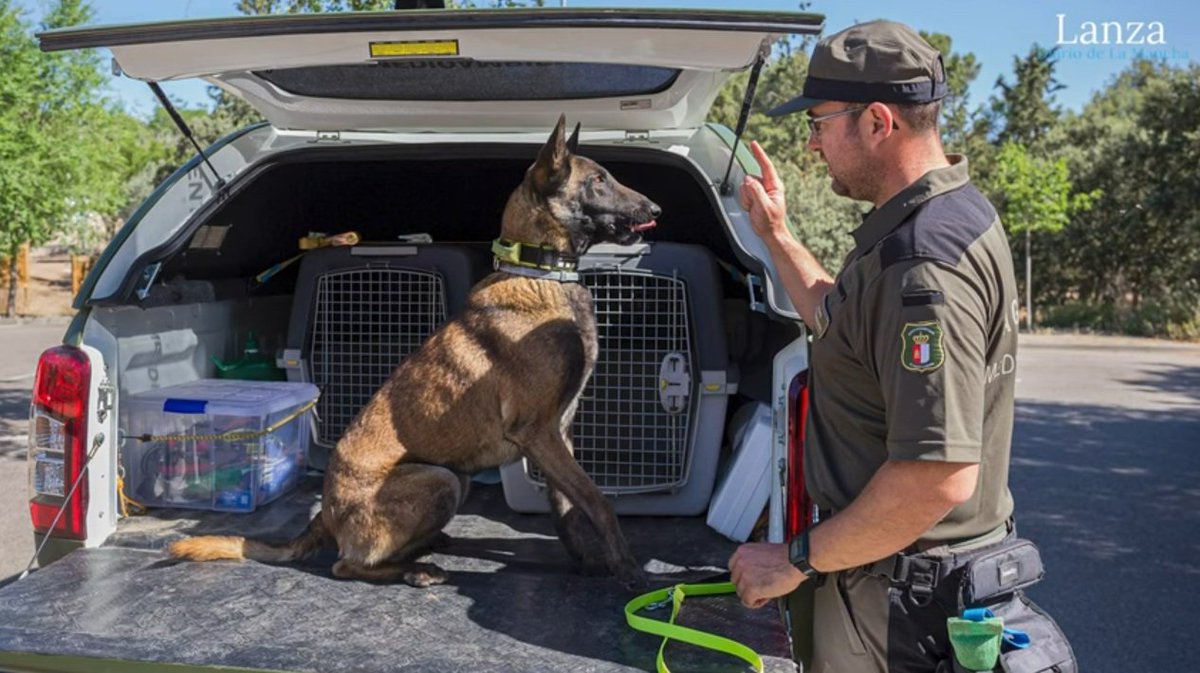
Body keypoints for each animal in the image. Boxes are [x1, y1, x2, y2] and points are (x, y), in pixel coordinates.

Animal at [166, 113, 657, 587]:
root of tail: (325, 515)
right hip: (439, 479)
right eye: (598, 180)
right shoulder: (538, 431)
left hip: (455, 477)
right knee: (345, 566)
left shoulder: (559, 431)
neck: (538, 272)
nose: (655, 209)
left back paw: (429, 547)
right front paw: (628, 569)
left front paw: (591, 565)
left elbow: (568, 507)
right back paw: (416, 571)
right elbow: (596, 500)